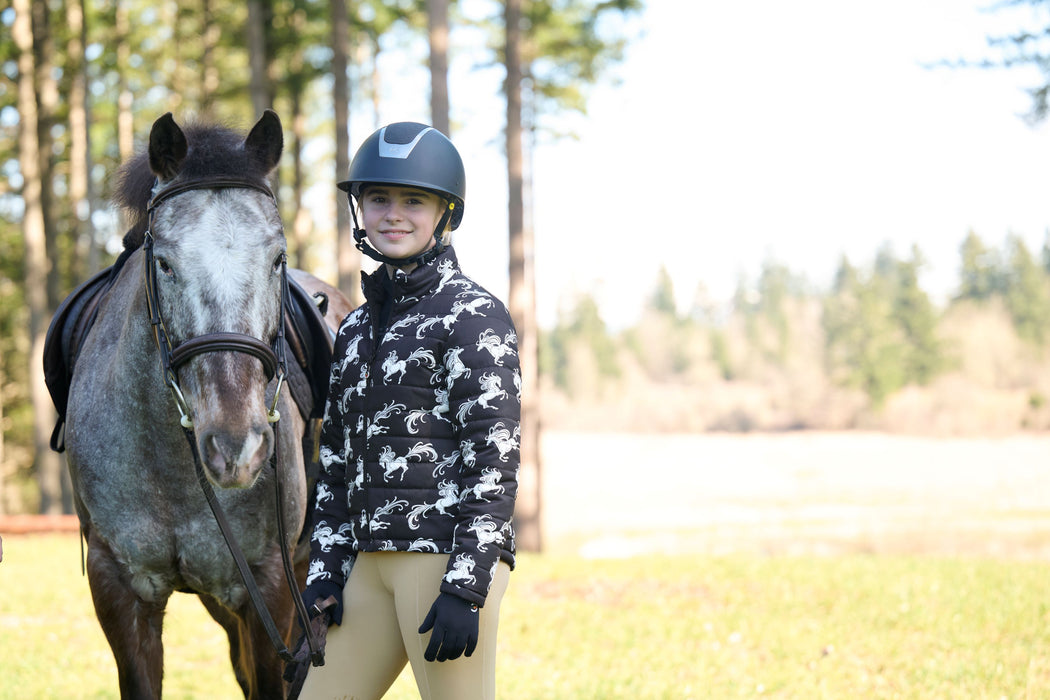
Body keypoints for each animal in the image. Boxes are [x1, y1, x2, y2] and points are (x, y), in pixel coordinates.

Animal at [54, 111, 352, 699]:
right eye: (165, 263)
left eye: (277, 258)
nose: (237, 447)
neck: (173, 468)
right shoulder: (119, 588)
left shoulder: (270, 586)